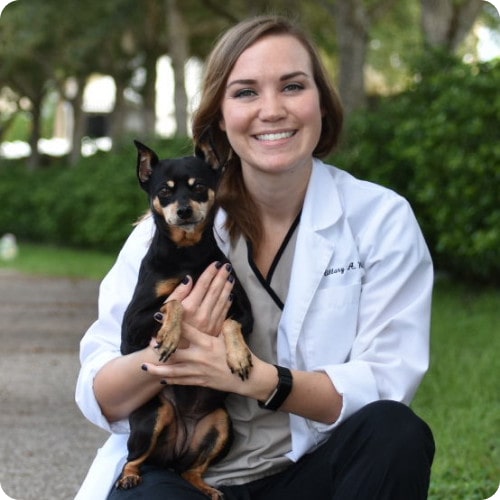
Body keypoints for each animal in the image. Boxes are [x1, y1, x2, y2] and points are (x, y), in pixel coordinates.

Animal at [115, 141, 252, 500]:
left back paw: (207, 488)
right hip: (155, 415)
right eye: (164, 191)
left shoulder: (244, 313)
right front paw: (170, 336)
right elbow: (174, 300)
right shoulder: (130, 328)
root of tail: (173, 454)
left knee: (191, 470)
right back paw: (130, 477)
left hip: (220, 424)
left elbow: (230, 323)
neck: (187, 254)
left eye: (199, 187)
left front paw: (239, 357)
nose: (184, 211)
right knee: (133, 459)